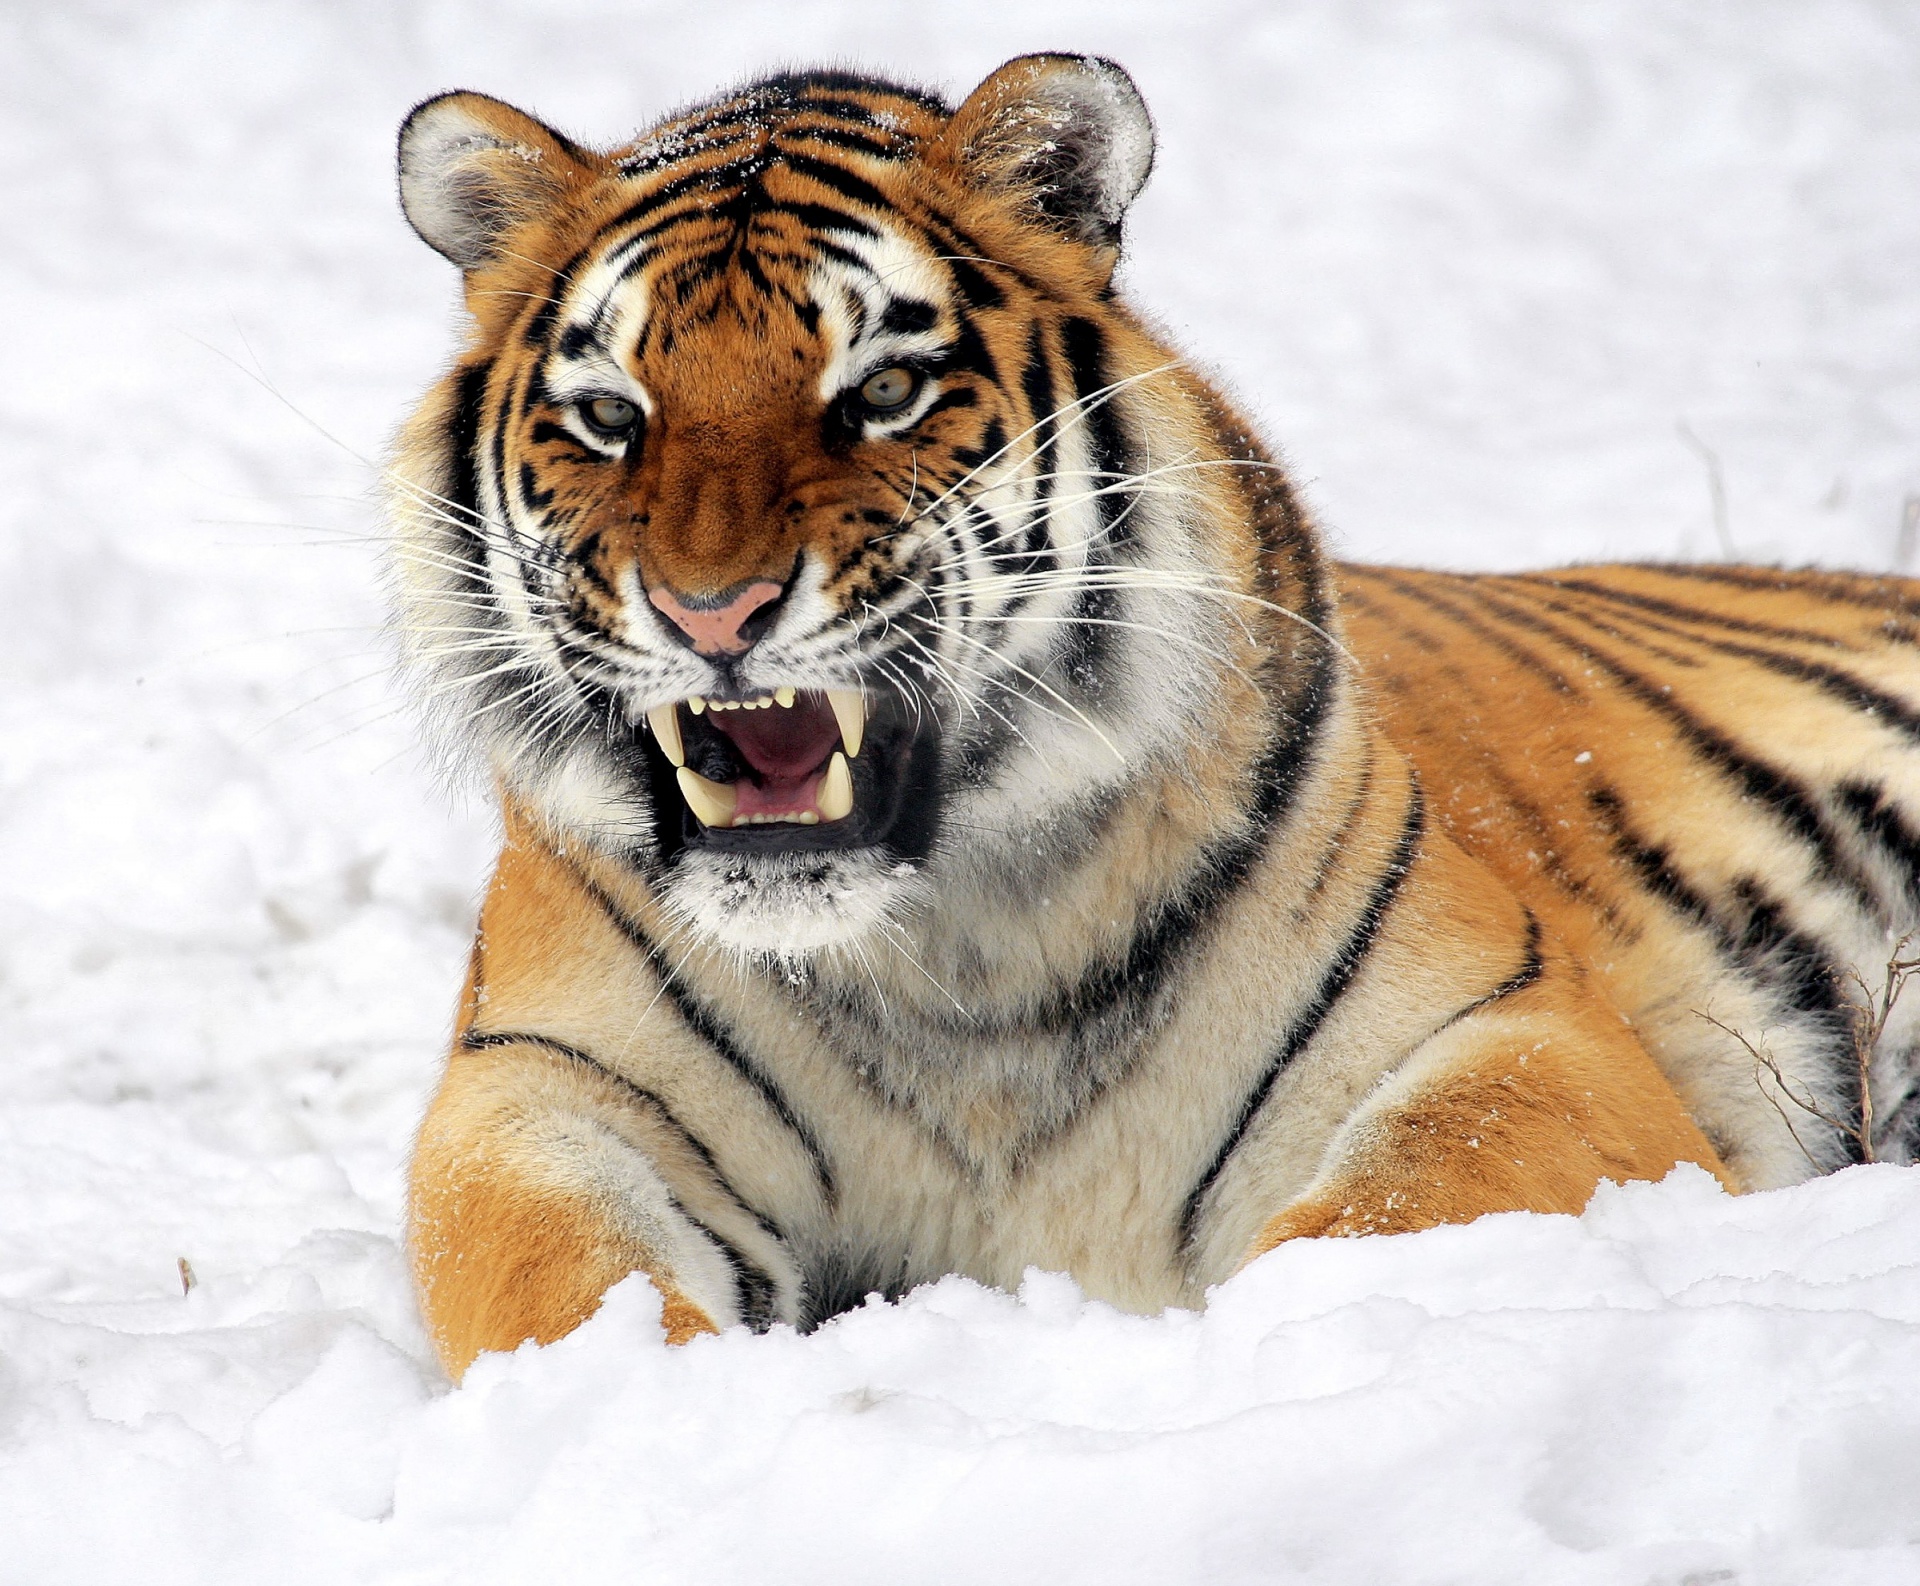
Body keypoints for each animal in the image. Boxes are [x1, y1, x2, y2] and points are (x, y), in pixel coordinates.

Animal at [387, 54, 1920, 1379]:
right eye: (610, 415)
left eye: (884, 390)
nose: (712, 613)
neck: (948, 955)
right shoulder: (538, 1091)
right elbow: (561, 1282)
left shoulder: (1514, 1030)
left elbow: (1388, 1211)